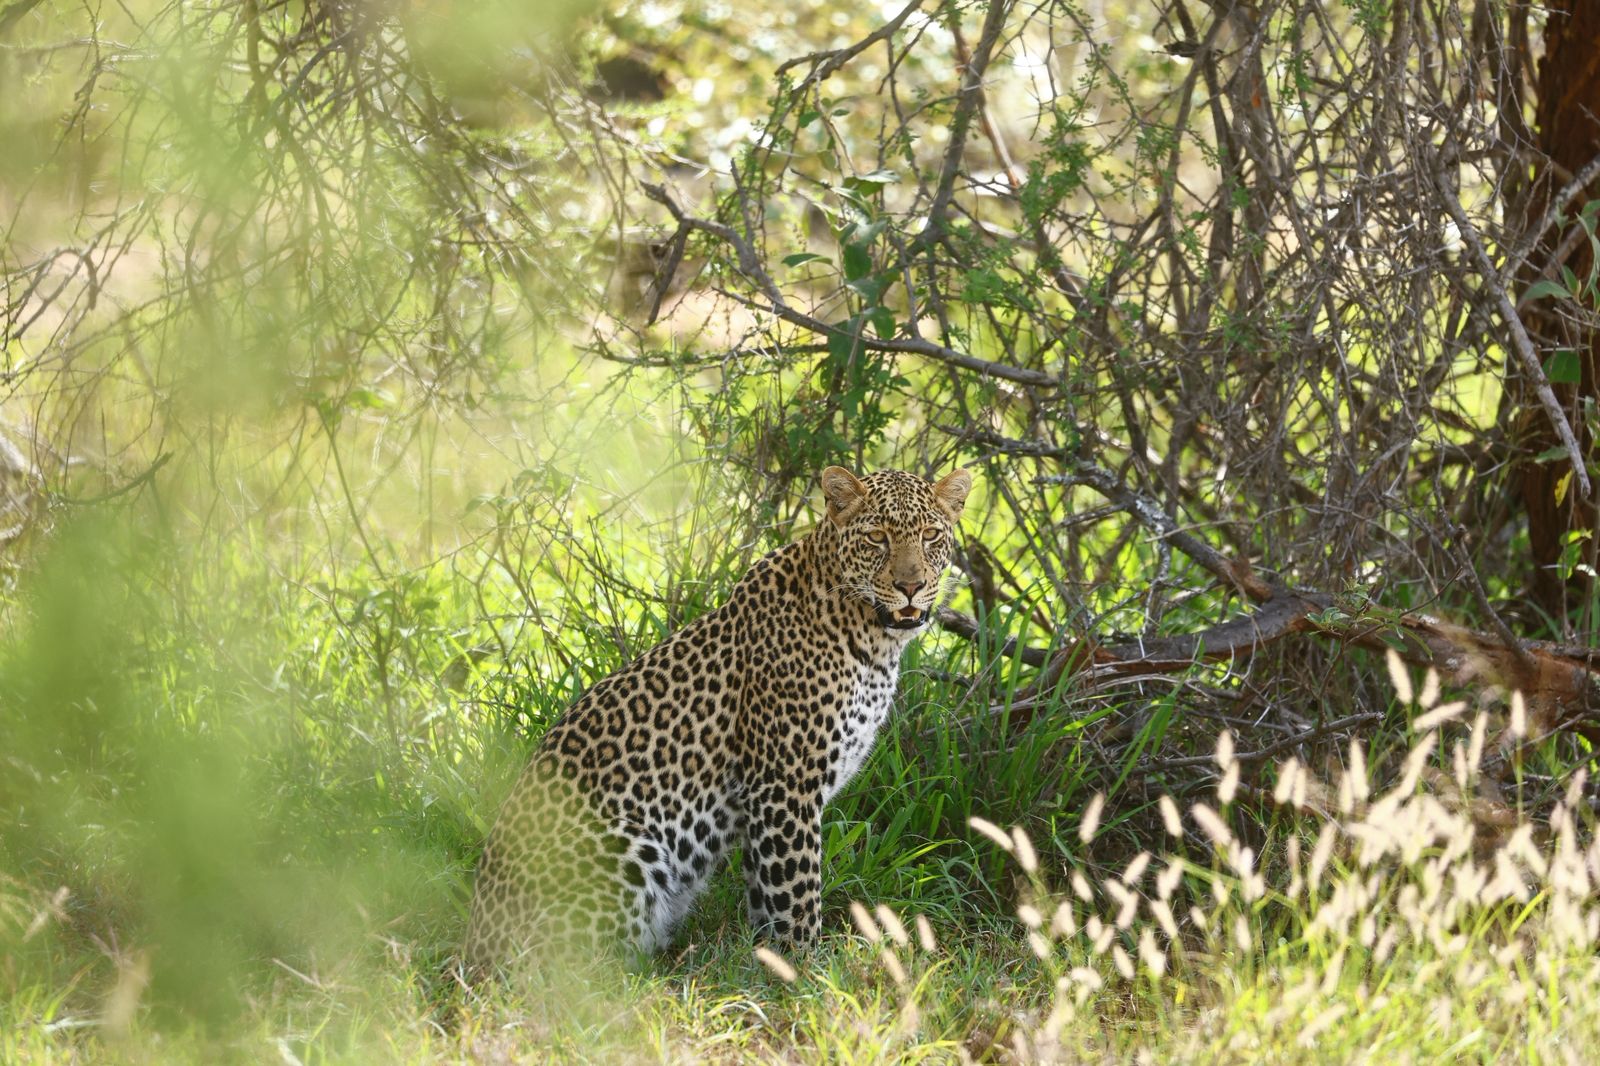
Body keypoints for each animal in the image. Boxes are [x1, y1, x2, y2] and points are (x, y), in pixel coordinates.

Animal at [463, 464, 972, 973]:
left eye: (930, 536)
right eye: (876, 537)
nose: (910, 586)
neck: (872, 639)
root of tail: (475, 944)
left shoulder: (764, 802)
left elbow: (767, 889)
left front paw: (769, 960)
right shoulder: (784, 783)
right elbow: (798, 889)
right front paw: (808, 968)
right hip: (625, 844)